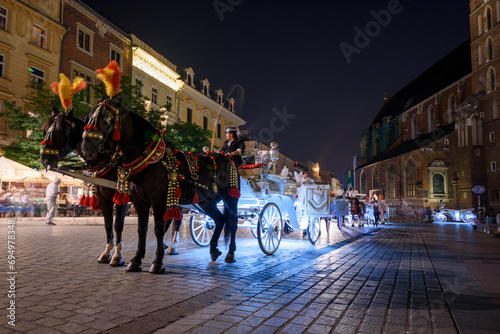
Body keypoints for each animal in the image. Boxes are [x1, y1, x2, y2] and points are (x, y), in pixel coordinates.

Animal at [79, 98, 238, 272]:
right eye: (88, 118)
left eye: (107, 118)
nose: (87, 149)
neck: (148, 160)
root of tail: (225, 157)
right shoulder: (136, 201)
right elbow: (139, 229)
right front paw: (135, 260)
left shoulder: (155, 201)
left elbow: (155, 229)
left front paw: (156, 262)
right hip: (205, 201)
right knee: (219, 219)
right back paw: (213, 249)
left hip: (230, 197)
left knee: (232, 222)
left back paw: (230, 254)